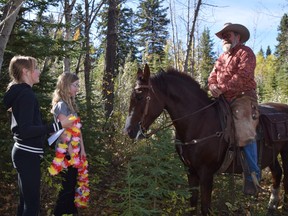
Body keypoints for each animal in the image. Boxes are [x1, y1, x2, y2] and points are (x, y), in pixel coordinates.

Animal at [123, 63, 288, 214]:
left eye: (140, 97)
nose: (128, 131)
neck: (199, 121)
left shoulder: (206, 174)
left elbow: (205, 208)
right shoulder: (191, 171)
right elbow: (193, 203)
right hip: (272, 156)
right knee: (277, 174)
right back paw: (271, 207)